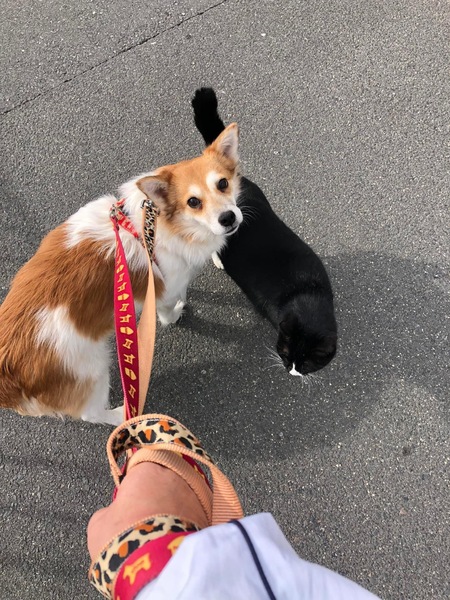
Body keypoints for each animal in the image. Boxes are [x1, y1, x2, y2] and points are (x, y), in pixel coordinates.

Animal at [0, 123, 242, 425]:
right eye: (193, 202)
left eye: (223, 183)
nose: (228, 218)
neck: (155, 224)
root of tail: (8, 371)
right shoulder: (162, 291)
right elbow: (168, 310)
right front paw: (178, 312)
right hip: (91, 368)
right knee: (92, 414)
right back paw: (124, 414)